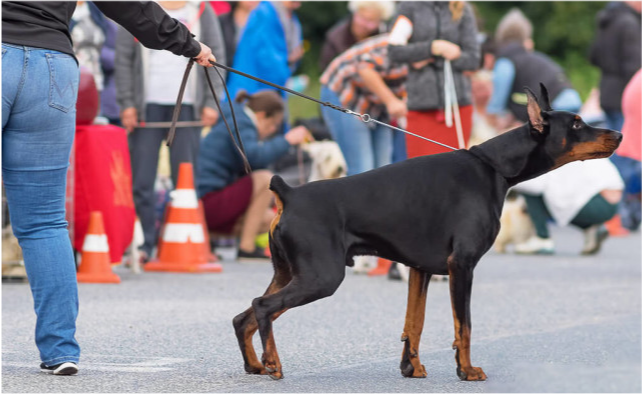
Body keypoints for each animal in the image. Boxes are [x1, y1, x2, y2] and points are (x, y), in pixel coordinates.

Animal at [231, 85, 620, 382]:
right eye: (577, 123)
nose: (618, 134)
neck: (495, 168)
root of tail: (288, 192)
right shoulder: (461, 265)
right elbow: (464, 325)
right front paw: (466, 371)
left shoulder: (420, 269)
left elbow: (413, 323)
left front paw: (412, 367)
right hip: (321, 276)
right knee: (263, 307)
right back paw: (273, 363)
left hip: (289, 272)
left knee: (242, 316)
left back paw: (255, 365)